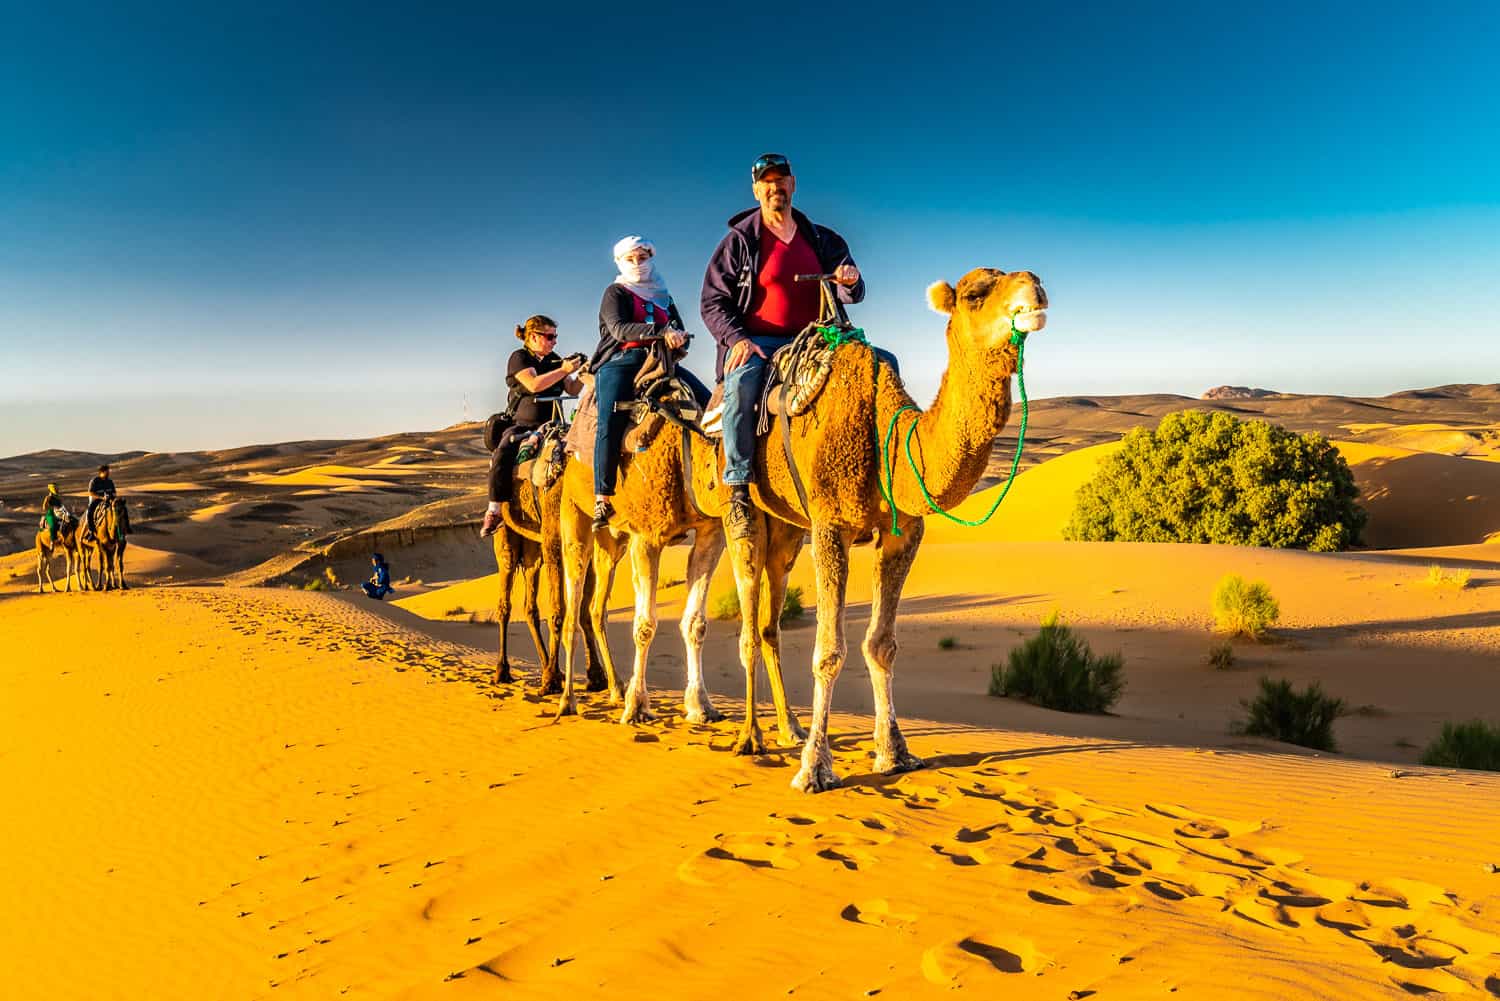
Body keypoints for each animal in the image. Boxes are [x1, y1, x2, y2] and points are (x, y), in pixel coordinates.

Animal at [726, 270, 1044, 792]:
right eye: (976, 293)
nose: (1034, 289)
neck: (888, 440)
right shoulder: (831, 524)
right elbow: (829, 652)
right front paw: (815, 768)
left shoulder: (902, 532)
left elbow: (881, 645)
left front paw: (894, 752)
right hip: (741, 507)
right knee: (749, 615)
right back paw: (750, 738)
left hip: (788, 527)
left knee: (771, 620)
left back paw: (788, 728)